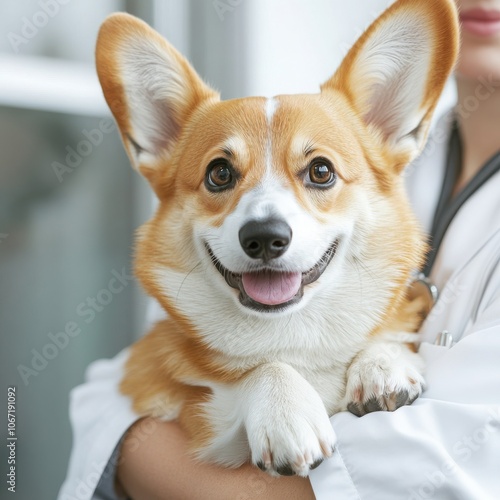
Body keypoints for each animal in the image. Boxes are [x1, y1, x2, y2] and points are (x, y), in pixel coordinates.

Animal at [95, 0, 458, 476]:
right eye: (219, 173)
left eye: (321, 170)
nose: (264, 237)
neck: (292, 335)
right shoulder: (176, 396)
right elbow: (260, 369)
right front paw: (286, 409)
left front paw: (382, 363)